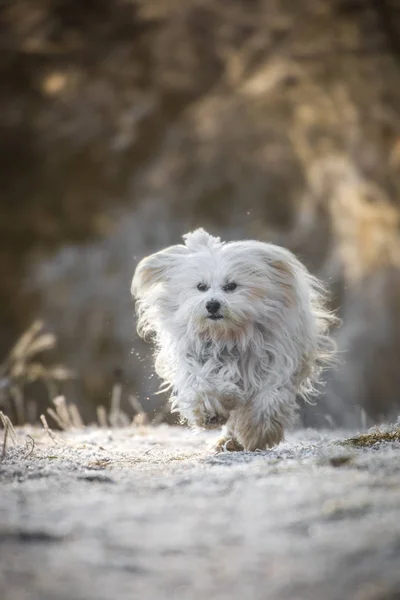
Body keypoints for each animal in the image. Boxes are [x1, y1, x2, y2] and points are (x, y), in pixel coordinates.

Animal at [130, 229, 334, 450]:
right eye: (201, 286)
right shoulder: (194, 357)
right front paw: (210, 412)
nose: (212, 305)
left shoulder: (275, 360)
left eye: (231, 286)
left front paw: (258, 431)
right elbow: (201, 383)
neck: (228, 335)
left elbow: (269, 394)